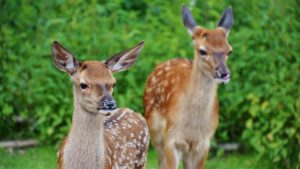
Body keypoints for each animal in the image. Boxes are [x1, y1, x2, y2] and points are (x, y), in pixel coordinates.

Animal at [144, 4, 234, 169]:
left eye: (229, 50)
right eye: (202, 50)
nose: (224, 73)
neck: (192, 128)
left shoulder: (204, 143)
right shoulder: (171, 139)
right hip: (154, 131)